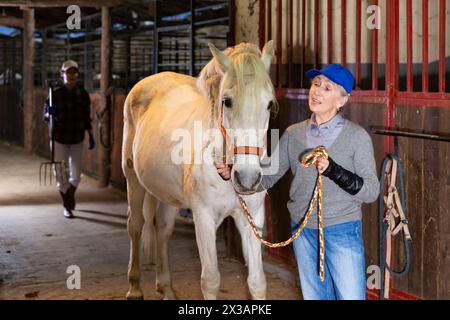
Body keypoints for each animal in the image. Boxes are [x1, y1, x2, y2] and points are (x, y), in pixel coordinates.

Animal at [123, 40, 276, 300]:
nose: (247, 179)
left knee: (162, 229)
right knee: (135, 226)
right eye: (227, 101)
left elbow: (257, 282)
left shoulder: (252, 218)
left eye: (269, 104)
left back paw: (166, 288)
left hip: (168, 195)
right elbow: (210, 279)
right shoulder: (203, 217)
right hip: (132, 179)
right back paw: (134, 288)